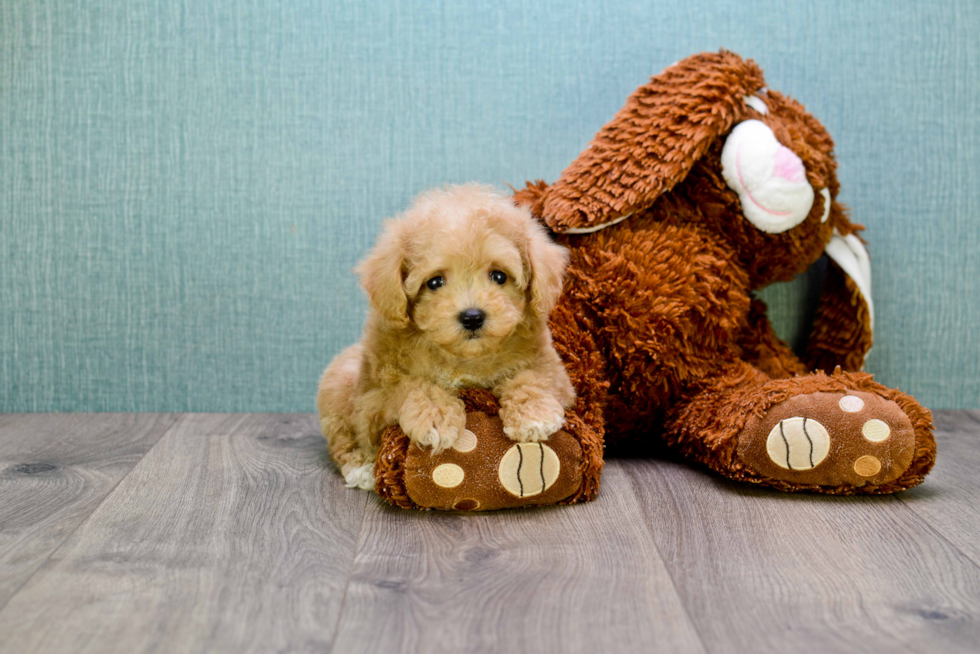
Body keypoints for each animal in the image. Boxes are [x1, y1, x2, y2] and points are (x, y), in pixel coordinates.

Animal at [318, 184, 576, 492]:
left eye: (498, 276)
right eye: (435, 282)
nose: (472, 316)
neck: (465, 357)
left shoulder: (555, 372)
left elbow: (533, 376)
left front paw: (534, 415)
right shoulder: (374, 402)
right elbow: (411, 385)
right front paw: (436, 418)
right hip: (340, 391)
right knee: (343, 443)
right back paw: (362, 470)